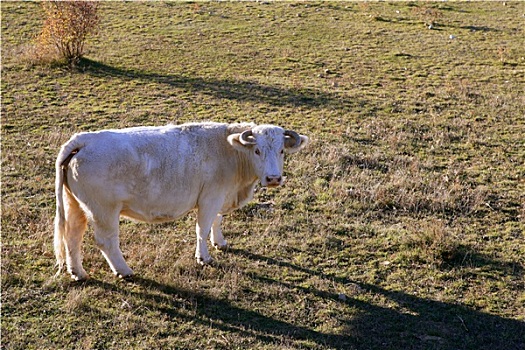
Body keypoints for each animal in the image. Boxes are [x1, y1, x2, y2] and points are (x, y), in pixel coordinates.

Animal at [54, 121, 308, 280]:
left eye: (282, 151)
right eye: (257, 151)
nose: (273, 178)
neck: (229, 150)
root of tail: (86, 139)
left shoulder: (219, 197)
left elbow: (216, 222)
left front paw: (220, 242)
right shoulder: (209, 199)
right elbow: (202, 228)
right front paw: (203, 257)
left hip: (75, 205)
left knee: (72, 237)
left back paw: (78, 272)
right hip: (103, 211)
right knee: (106, 241)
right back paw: (124, 270)